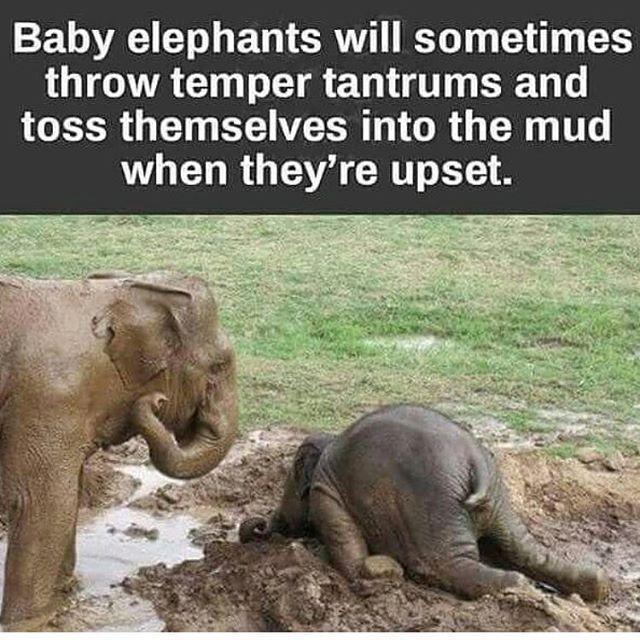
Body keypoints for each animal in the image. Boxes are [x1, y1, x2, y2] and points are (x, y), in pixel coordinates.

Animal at [0, 272, 238, 630]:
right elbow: (43, 503)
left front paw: (67, 594)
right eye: (219, 365)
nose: (156, 401)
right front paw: (27, 623)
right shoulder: (47, 397)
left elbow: (71, 494)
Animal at [239, 404, 609, 603]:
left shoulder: (325, 493)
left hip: (432, 506)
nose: (257, 525)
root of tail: (476, 461)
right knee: (524, 551)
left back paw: (519, 588)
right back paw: (590, 585)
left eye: (289, 481)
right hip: (497, 501)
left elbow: (349, 552)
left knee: (445, 564)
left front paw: (370, 574)